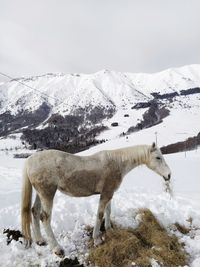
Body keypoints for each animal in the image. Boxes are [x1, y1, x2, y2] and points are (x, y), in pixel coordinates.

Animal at [21, 143, 171, 256]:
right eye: (158, 157)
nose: (168, 175)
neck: (117, 162)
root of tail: (29, 161)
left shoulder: (109, 193)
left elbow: (108, 211)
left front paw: (109, 229)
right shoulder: (105, 194)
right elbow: (100, 214)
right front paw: (97, 239)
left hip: (40, 194)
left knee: (35, 211)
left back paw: (40, 240)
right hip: (47, 193)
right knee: (45, 217)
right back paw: (57, 248)